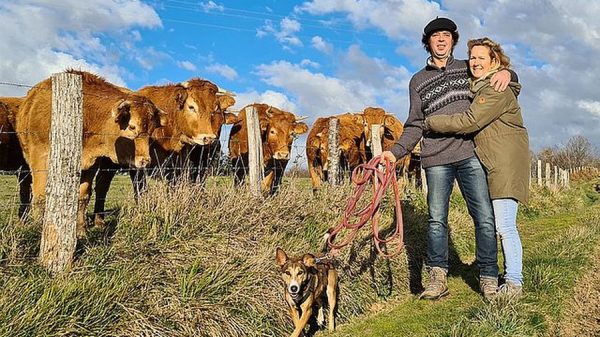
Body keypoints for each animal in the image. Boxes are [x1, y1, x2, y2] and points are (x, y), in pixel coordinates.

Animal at [16, 69, 166, 236]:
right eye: (132, 127)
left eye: (151, 131)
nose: (145, 161)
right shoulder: (40, 159)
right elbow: (40, 197)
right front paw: (38, 229)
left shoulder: (91, 164)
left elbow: (83, 196)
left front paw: (81, 230)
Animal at [91, 79, 237, 226]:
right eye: (191, 107)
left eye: (215, 109)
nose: (210, 139)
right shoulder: (138, 164)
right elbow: (141, 189)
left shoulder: (179, 166)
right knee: (102, 185)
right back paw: (99, 219)